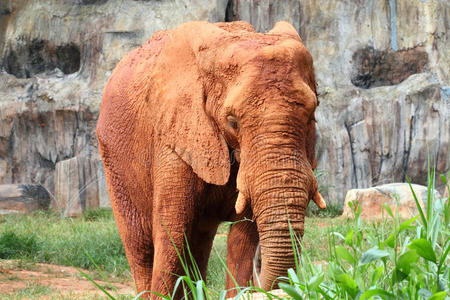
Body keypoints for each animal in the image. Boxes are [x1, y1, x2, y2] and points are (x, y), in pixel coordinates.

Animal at [96, 20, 326, 298]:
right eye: (232, 121)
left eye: (311, 116)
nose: (259, 284)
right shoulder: (173, 139)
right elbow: (171, 232)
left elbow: (243, 237)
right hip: (113, 159)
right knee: (140, 244)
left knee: (199, 240)